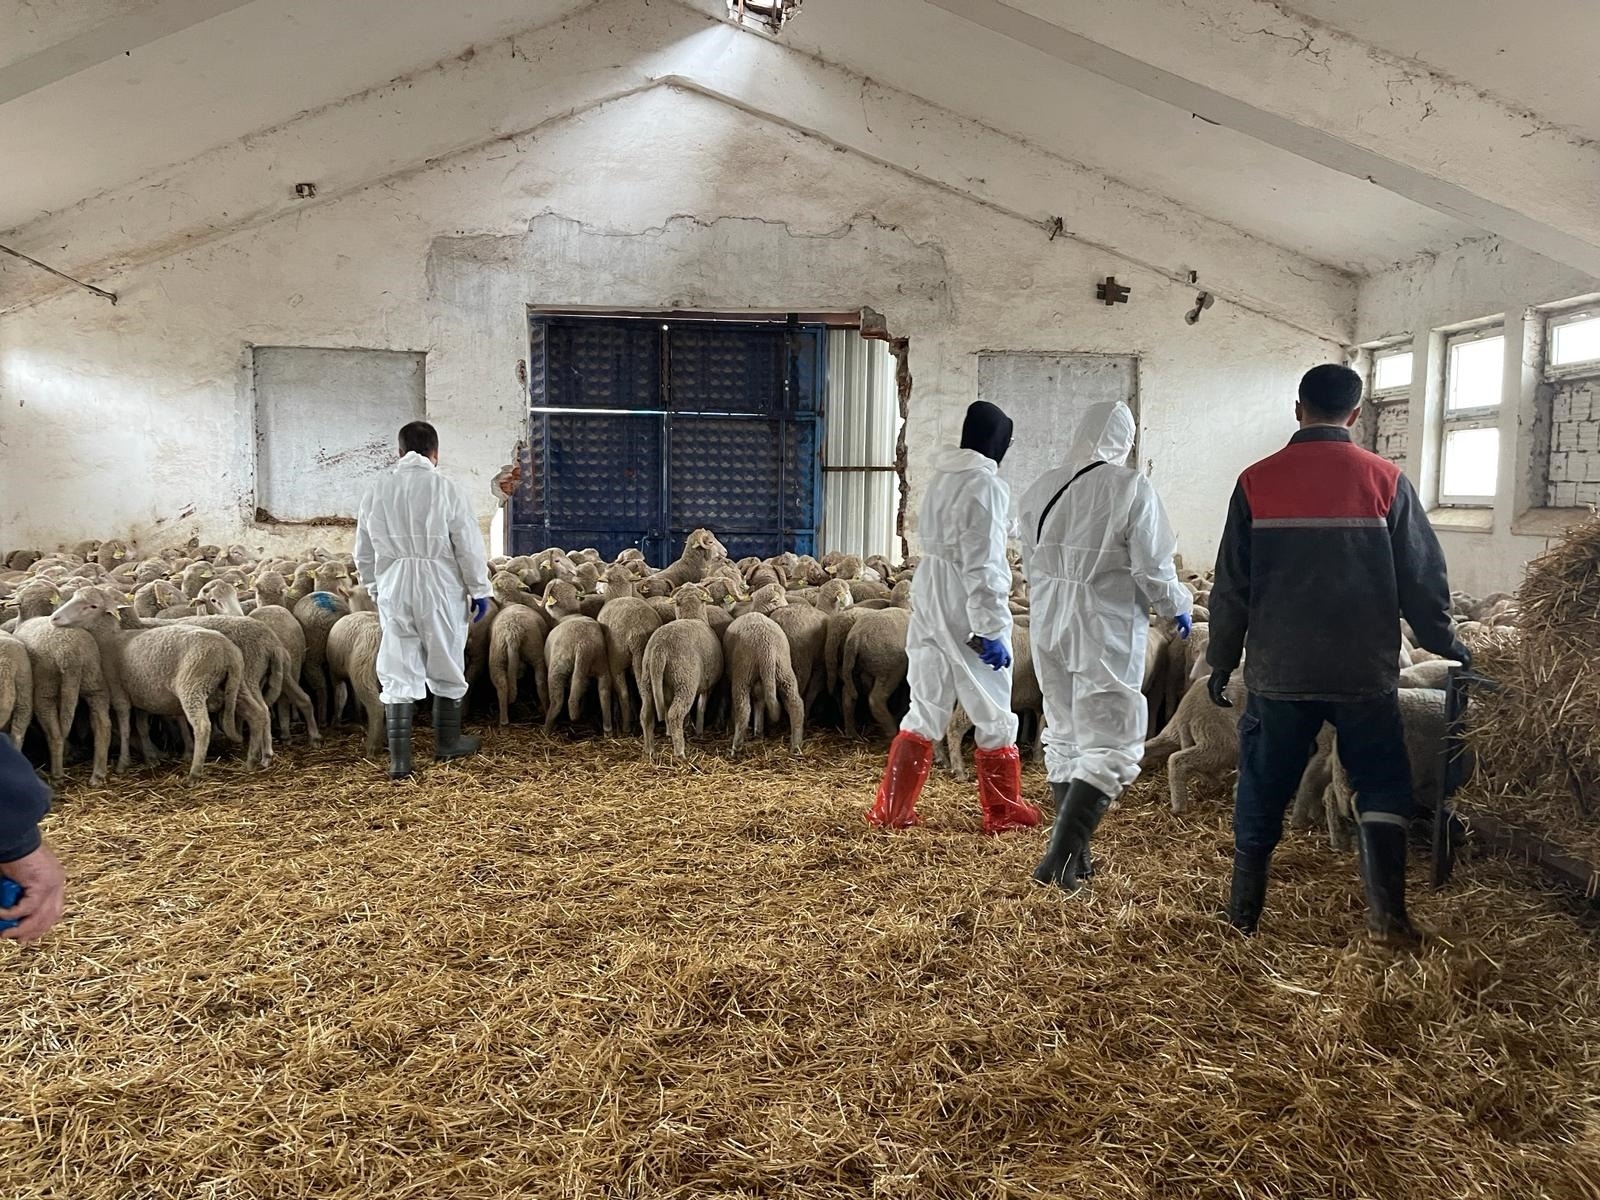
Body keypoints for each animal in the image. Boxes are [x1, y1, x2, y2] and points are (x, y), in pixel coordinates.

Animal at [50, 588, 246, 780]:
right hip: (231, 684)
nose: (54, 618)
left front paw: (123, 763)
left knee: (203, 726)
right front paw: (151, 757)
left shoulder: (119, 693)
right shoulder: (142, 694)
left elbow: (125, 727)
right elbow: (142, 727)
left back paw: (194, 773)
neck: (109, 640)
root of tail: (226, 650)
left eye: (93, 606)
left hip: (192, 686)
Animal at [636, 585, 726, 761]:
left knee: (646, 714)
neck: (693, 616)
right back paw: (680, 753)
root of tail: (660, 647)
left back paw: (649, 751)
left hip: (648, 680)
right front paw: (699, 731)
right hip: (684, 681)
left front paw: (670, 733)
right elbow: (701, 707)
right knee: (675, 714)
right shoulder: (708, 685)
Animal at [723, 588, 800, 755]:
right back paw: (796, 745)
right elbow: (760, 702)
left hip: (742, 675)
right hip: (784, 670)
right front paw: (758, 731)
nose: (787, 604)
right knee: (795, 704)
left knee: (743, 709)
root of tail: (766, 646)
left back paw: (735, 747)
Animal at [838, 604, 915, 739]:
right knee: (876, 699)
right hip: (890, 667)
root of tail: (856, 637)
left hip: (854, 668)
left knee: (848, 695)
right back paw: (891, 730)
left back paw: (851, 732)